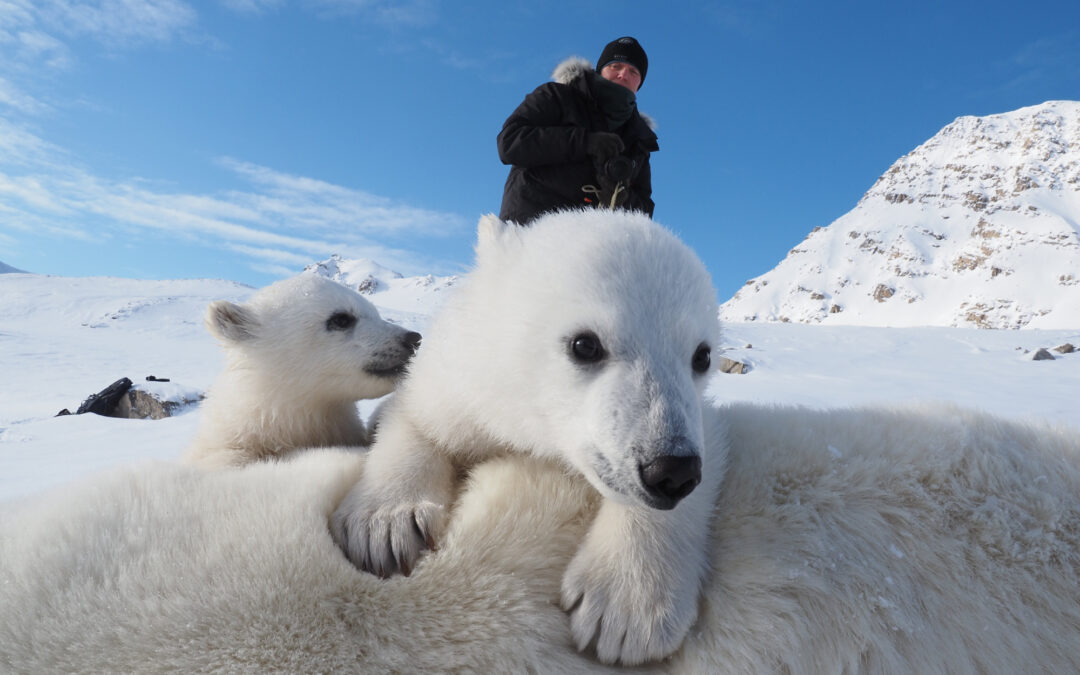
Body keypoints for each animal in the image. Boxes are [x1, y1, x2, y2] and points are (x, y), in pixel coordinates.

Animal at [329, 208, 726, 665]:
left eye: (702, 355)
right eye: (584, 344)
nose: (670, 470)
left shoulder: (699, 417)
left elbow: (710, 443)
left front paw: (628, 609)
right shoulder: (463, 383)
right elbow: (416, 419)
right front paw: (384, 527)